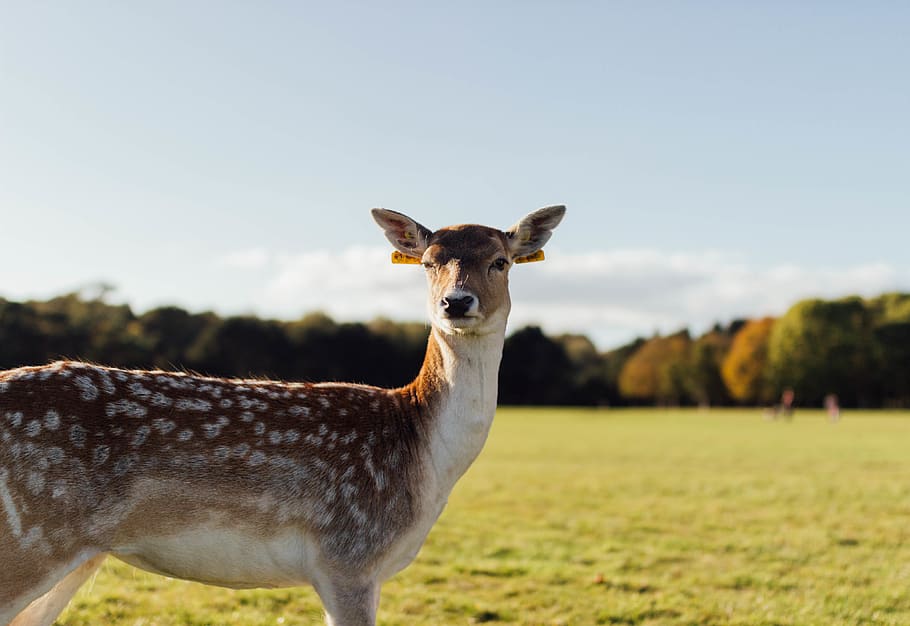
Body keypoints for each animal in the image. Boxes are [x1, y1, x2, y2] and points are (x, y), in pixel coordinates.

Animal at [0, 205, 565, 626]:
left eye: (501, 261)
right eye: (427, 262)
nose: (456, 302)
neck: (424, 458)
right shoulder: (348, 555)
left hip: (77, 554)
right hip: (29, 539)